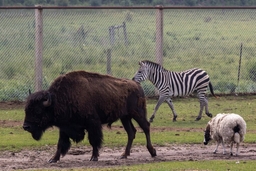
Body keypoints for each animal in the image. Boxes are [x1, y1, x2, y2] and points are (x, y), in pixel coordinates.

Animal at [23, 70, 156, 162]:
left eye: (38, 111)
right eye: (26, 109)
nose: (25, 127)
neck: (57, 100)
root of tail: (137, 86)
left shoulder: (93, 123)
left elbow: (94, 140)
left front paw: (94, 157)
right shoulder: (65, 127)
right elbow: (60, 144)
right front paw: (53, 159)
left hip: (137, 113)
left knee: (146, 127)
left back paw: (152, 152)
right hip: (125, 117)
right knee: (131, 132)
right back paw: (124, 155)